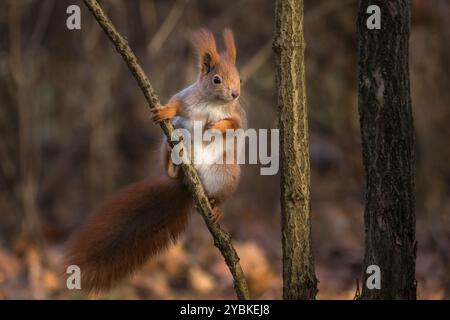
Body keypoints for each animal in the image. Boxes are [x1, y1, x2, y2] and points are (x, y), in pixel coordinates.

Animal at [66, 28, 246, 294]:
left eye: (240, 79)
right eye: (216, 79)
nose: (235, 94)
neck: (213, 103)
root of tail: (188, 187)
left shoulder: (237, 115)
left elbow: (234, 125)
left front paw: (218, 126)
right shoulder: (186, 99)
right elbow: (176, 104)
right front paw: (165, 111)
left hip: (225, 174)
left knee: (219, 198)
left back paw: (216, 209)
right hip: (167, 144)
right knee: (172, 161)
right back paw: (173, 166)